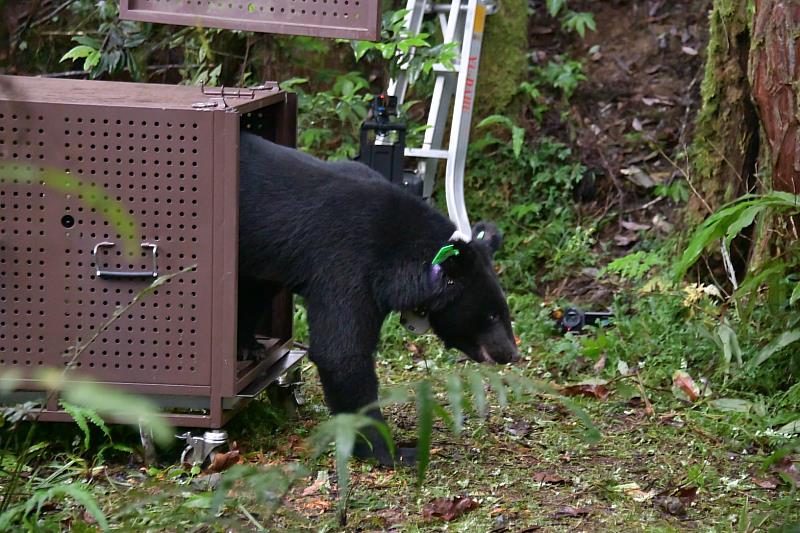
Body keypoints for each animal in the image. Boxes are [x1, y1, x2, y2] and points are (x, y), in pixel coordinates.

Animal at [236, 132, 520, 466]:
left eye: (504, 312)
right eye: (491, 316)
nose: (511, 354)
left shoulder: (273, 258)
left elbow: (255, 290)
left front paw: (248, 345)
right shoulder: (347, 265)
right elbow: (341, 353)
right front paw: (394, 451)